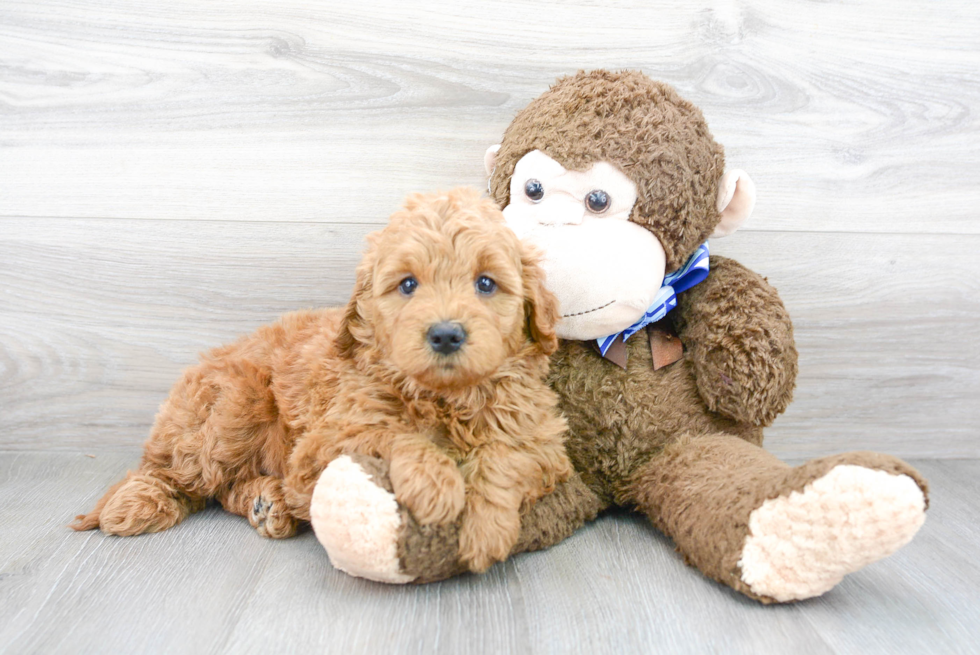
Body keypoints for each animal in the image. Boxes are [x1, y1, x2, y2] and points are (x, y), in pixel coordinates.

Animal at [74, 187, 576, 572]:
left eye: (486, 283)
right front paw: (437, 484)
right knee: (176, 475)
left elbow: (505, 457)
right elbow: (393, 434)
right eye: (408, 285)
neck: (446, 398)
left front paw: (485, 529)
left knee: (225, 489)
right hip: (230, 407)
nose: (446, 334)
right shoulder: (323, 442)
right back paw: (134, 505)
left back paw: (267, 504)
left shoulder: (543, 440)